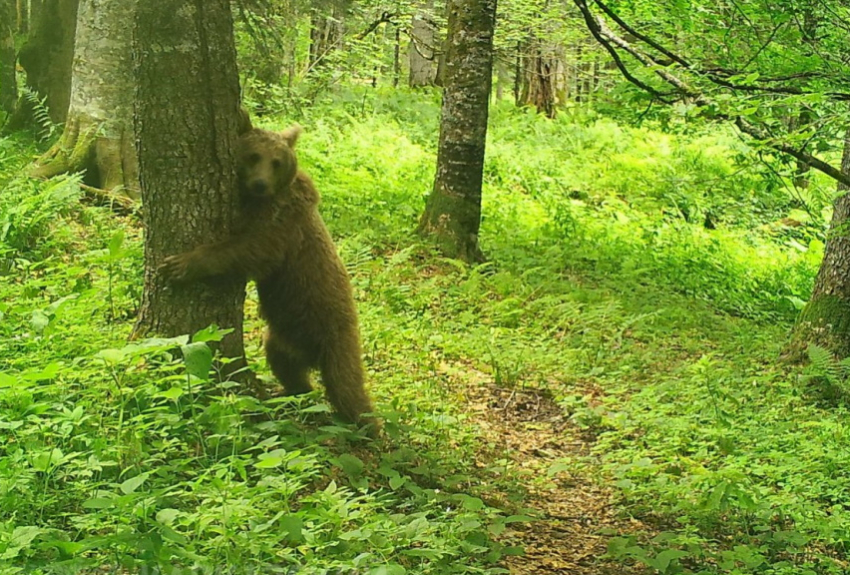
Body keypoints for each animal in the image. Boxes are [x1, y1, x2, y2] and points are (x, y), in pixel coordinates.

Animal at [159, 127, 374, 432]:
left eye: (276, 162)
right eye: (254, 156)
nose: (260, 184)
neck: (263, 200)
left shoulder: (282, 226)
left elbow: (249, 250)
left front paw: (182, 264)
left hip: (335, 334)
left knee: (346, 386)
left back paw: (368, 426)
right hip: (283, 336)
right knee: (286, 366)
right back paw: (290, 393)